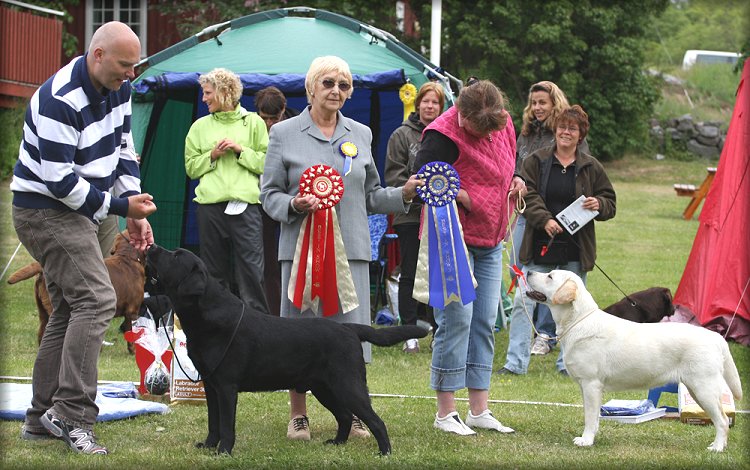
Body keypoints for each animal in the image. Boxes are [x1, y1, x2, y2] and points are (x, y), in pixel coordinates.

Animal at [7, 231, 147, 352]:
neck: (127, 257)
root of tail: (42, 269)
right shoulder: (132, 311)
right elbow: (132, 333)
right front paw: (134, 351)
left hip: (42, 311)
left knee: (42, 333)